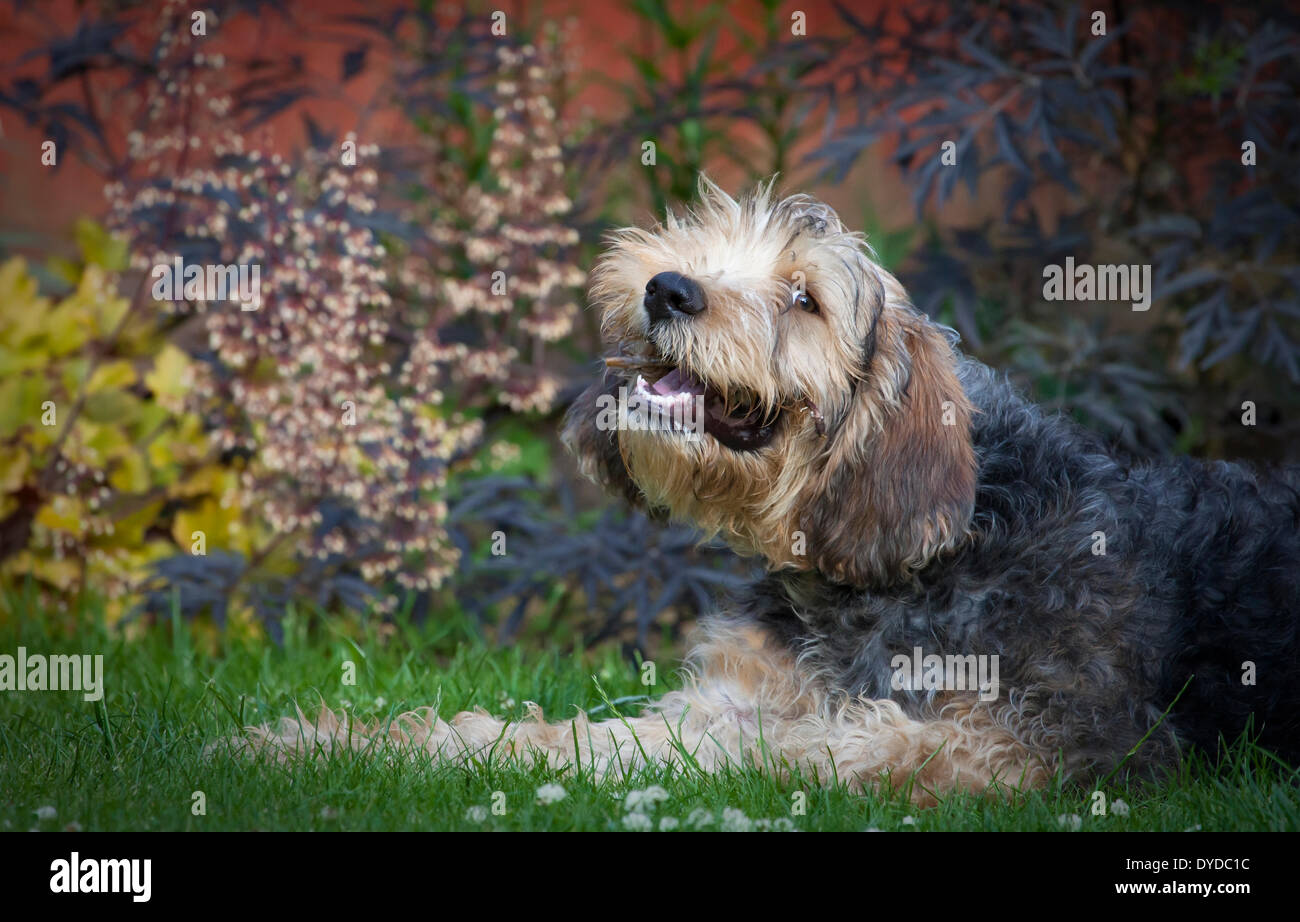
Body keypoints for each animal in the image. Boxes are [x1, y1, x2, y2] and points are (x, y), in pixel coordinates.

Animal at [236, 178, 1300, 795]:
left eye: (804, 298)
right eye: (703, 242)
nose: (666, 288)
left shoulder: (1035, 744)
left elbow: (795, 749)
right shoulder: (736, 694)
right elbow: (538, 737)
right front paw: (319, 744)